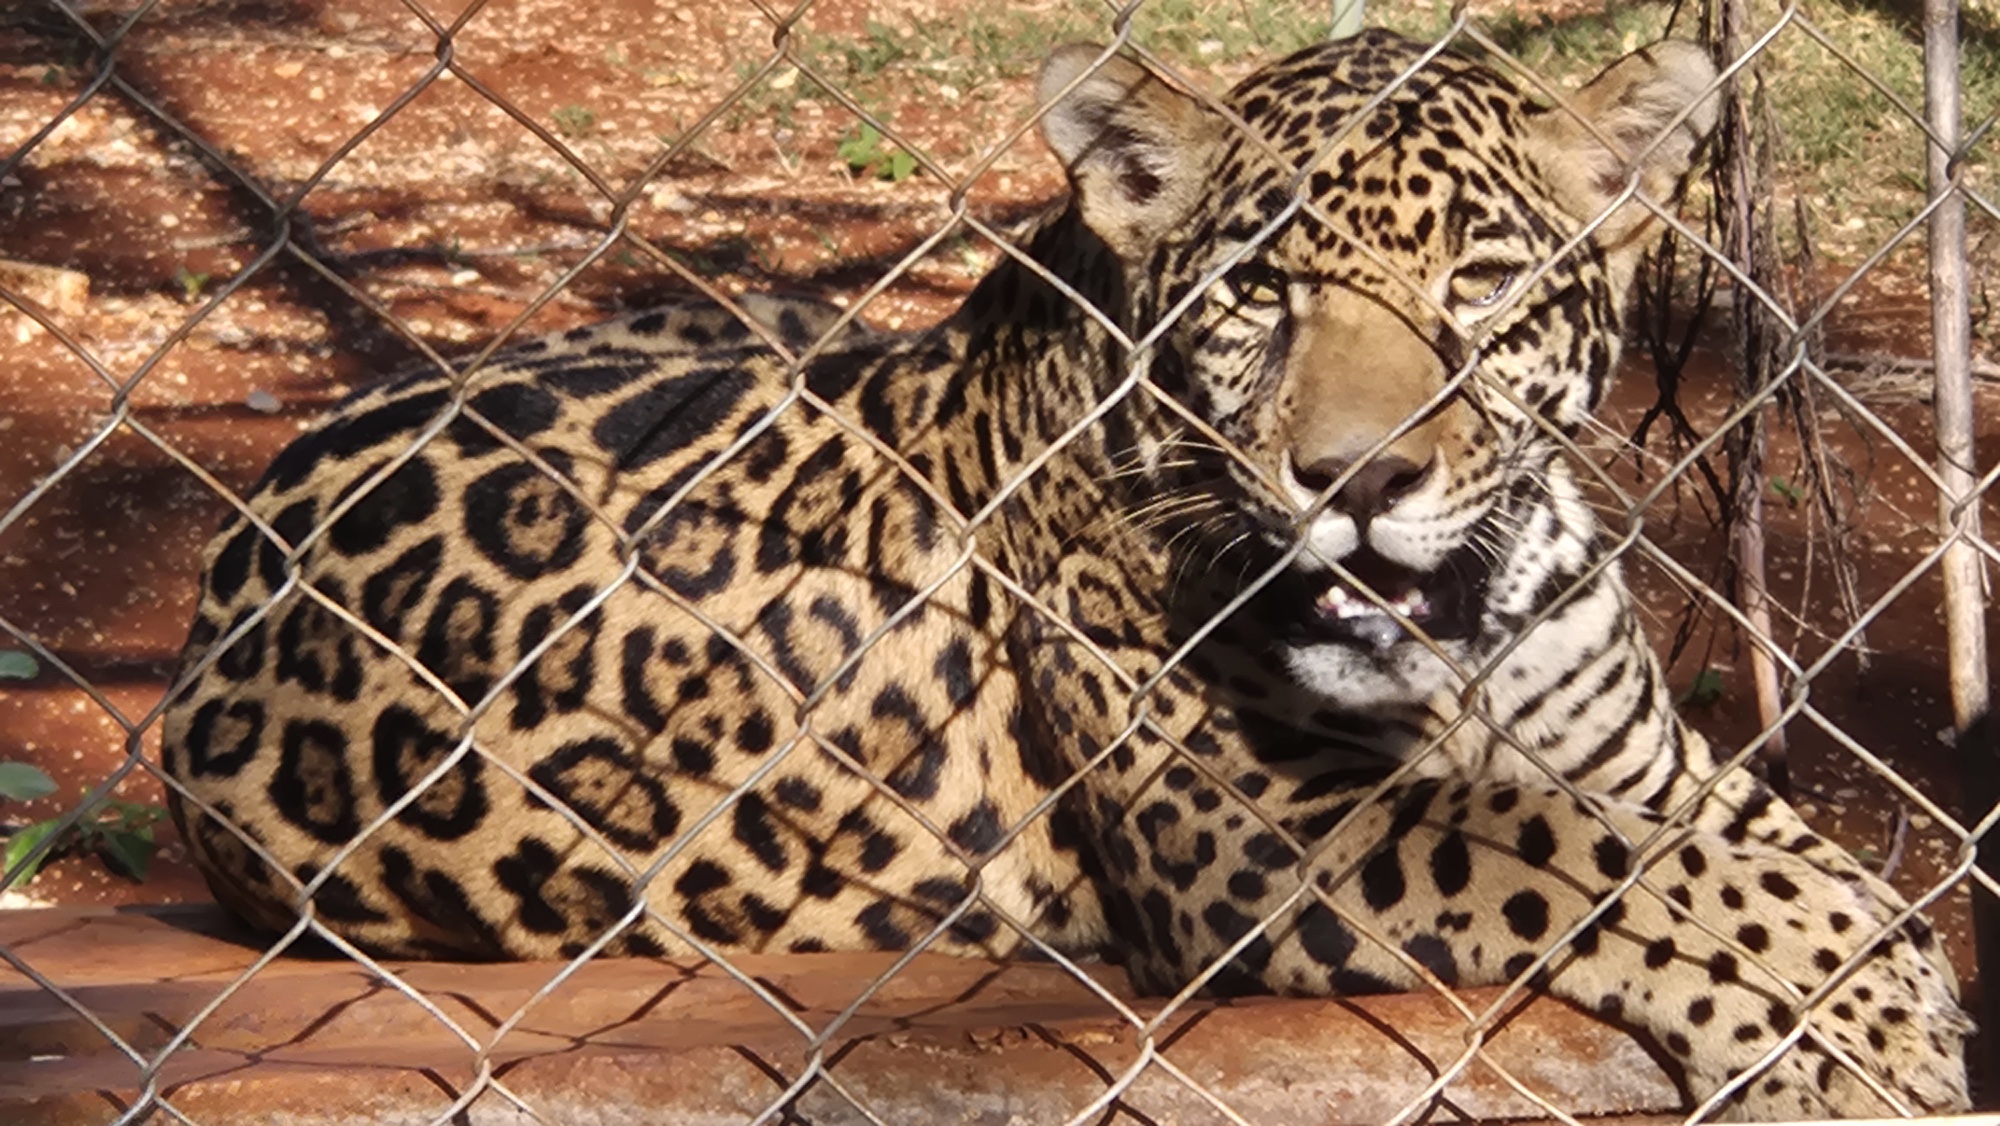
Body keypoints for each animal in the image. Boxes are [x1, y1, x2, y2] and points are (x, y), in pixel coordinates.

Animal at [161, 29, 1971, 1120]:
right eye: (1260, 288)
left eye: (1478, 285)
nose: (1357, 481)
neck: (1470, 617)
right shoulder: (1248, 818)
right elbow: (1601, 857)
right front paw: (1865, 1042)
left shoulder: (1631, 748)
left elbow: (1772, 857)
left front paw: (1890, 1005)